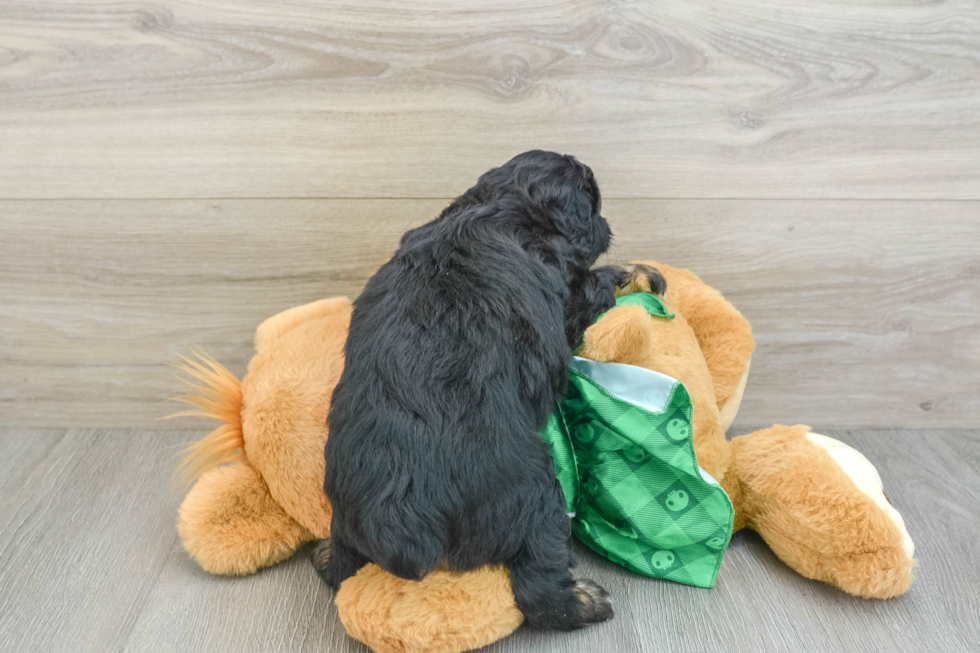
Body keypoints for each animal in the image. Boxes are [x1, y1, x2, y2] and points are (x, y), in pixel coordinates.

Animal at [314, 150, 668, 628]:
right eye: (593, 204)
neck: (497, 205)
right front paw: (631, 272)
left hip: (346, 509)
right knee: (539, 578)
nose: (605, 222)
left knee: (342, 564)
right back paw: (582, 603)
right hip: (533, 496)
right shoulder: (566, 300)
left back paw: (325, 555)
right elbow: (591, 287)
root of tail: (404, 522)